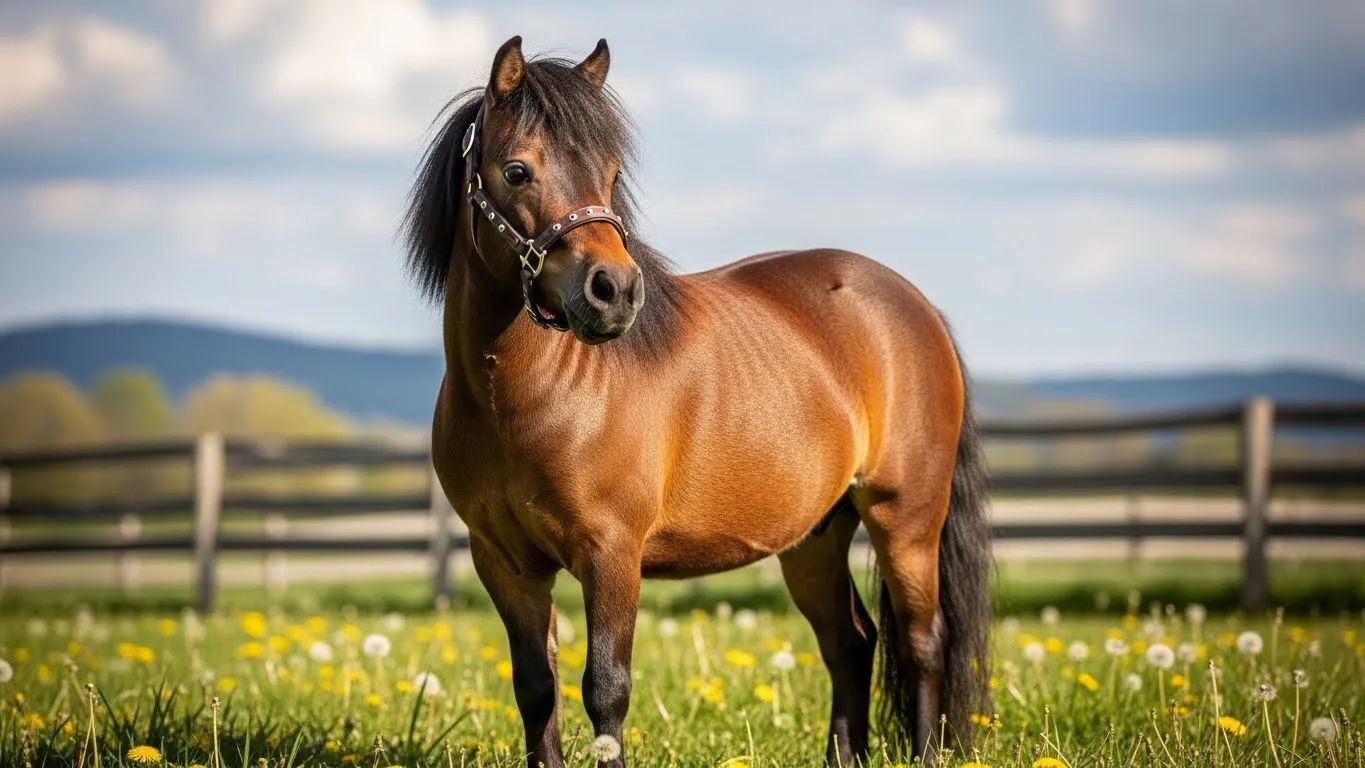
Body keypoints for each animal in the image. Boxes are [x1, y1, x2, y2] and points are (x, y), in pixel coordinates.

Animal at [403, 36, 991, 768]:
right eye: (516, 171)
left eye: (609, 173)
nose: (614, 292)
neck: (526, 399)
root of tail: (915, 305)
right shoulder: (504, 563)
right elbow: (536, 690)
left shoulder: (612, 553)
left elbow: (606, 689)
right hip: (815, 535)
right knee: (850, 641)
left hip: (904, 518)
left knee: (921, 642)